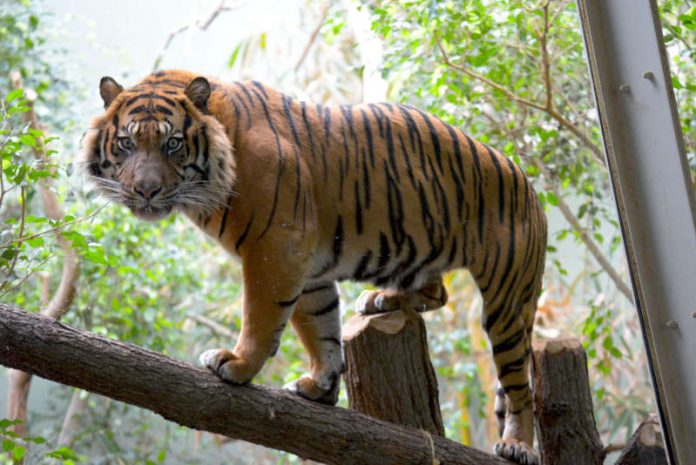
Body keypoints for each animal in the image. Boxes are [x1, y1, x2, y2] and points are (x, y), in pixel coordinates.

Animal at [81, 70, 548, 464]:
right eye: (126, 143)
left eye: (173, 144)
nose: (145, 191)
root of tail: (527, 180)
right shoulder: (307, 263)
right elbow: (318, 326)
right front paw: (320, 387)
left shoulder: (276, 247)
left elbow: (262, 317)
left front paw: (238, 364)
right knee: (439, 292)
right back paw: (380, 300)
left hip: (507, 301)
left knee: (519, 385)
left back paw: (518, 445)